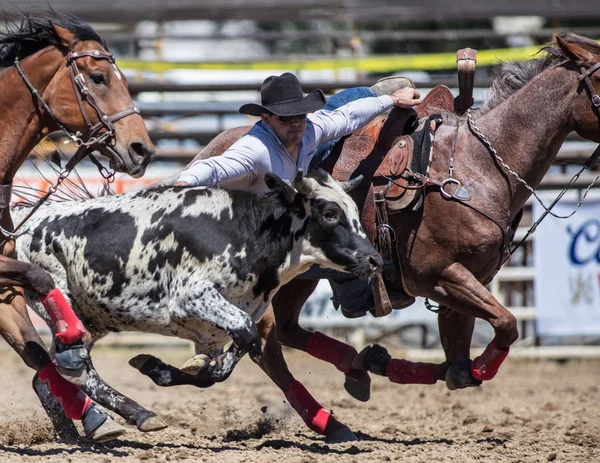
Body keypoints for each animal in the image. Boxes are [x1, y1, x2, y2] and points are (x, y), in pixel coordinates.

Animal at [0, 11, 157, 442]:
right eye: (98, 77)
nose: (142, 149)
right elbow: (41, 277)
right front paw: (72, 343)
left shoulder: (2, 287)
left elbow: (36, 352)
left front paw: (95, 415)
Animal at [170, 32, 600, 414]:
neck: (478, 169)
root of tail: (211, 148)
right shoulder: (438, 275)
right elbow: (505, 326)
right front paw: (472, 365)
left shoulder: (468, 280)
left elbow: (459, 365)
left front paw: (394, 364)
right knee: (266, 342)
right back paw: (328, 418)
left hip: (300, 276)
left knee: (283, 331)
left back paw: (356, 371)